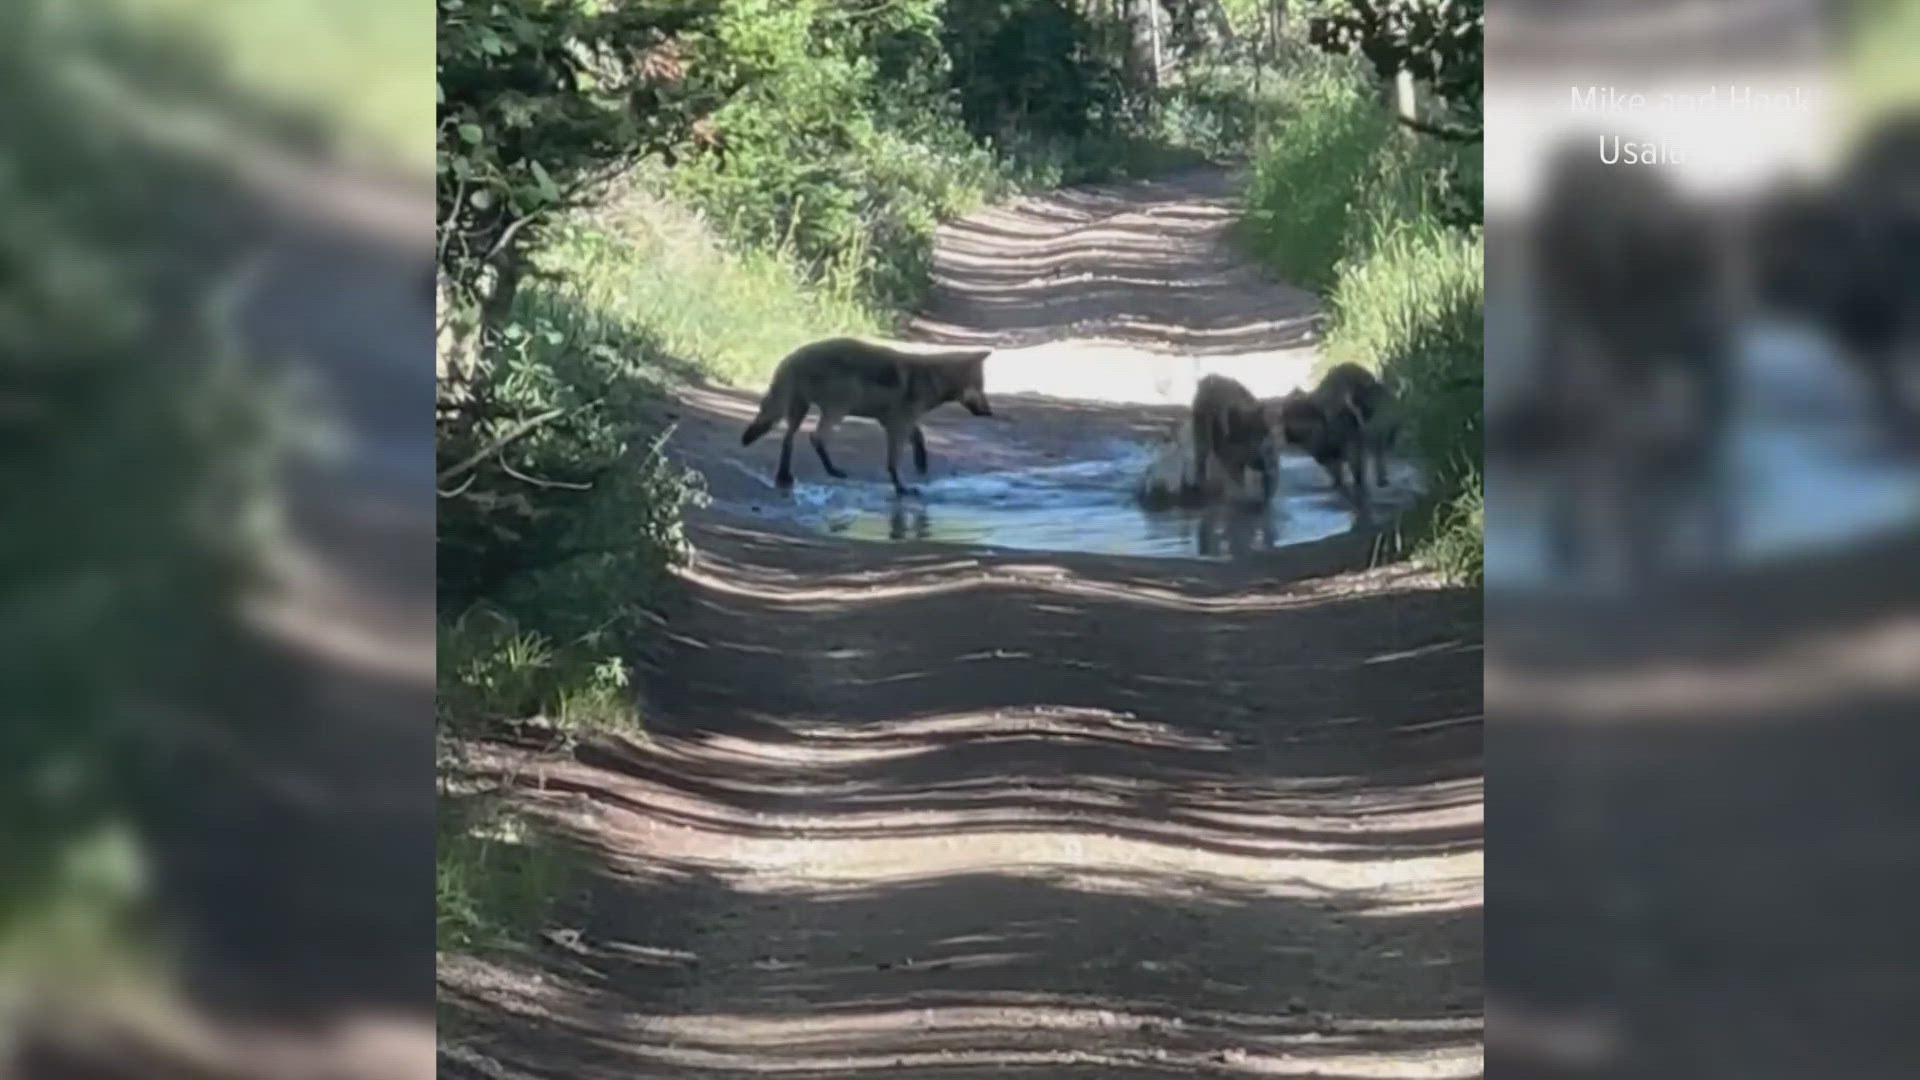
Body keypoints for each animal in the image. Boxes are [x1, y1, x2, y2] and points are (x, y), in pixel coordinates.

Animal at [741, 334, 998, 495]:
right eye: (981, 387)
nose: (989, 412)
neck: (931, 378)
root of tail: (792, 356)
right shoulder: (897, 426)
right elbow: (894, 463)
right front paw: (902, 488)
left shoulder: (900, 422)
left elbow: (919, 438)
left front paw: (921, 463)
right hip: (838, 409)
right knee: (816, 438)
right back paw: (833, 470)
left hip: (799, 411)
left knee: (788, 441)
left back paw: (784, 477)